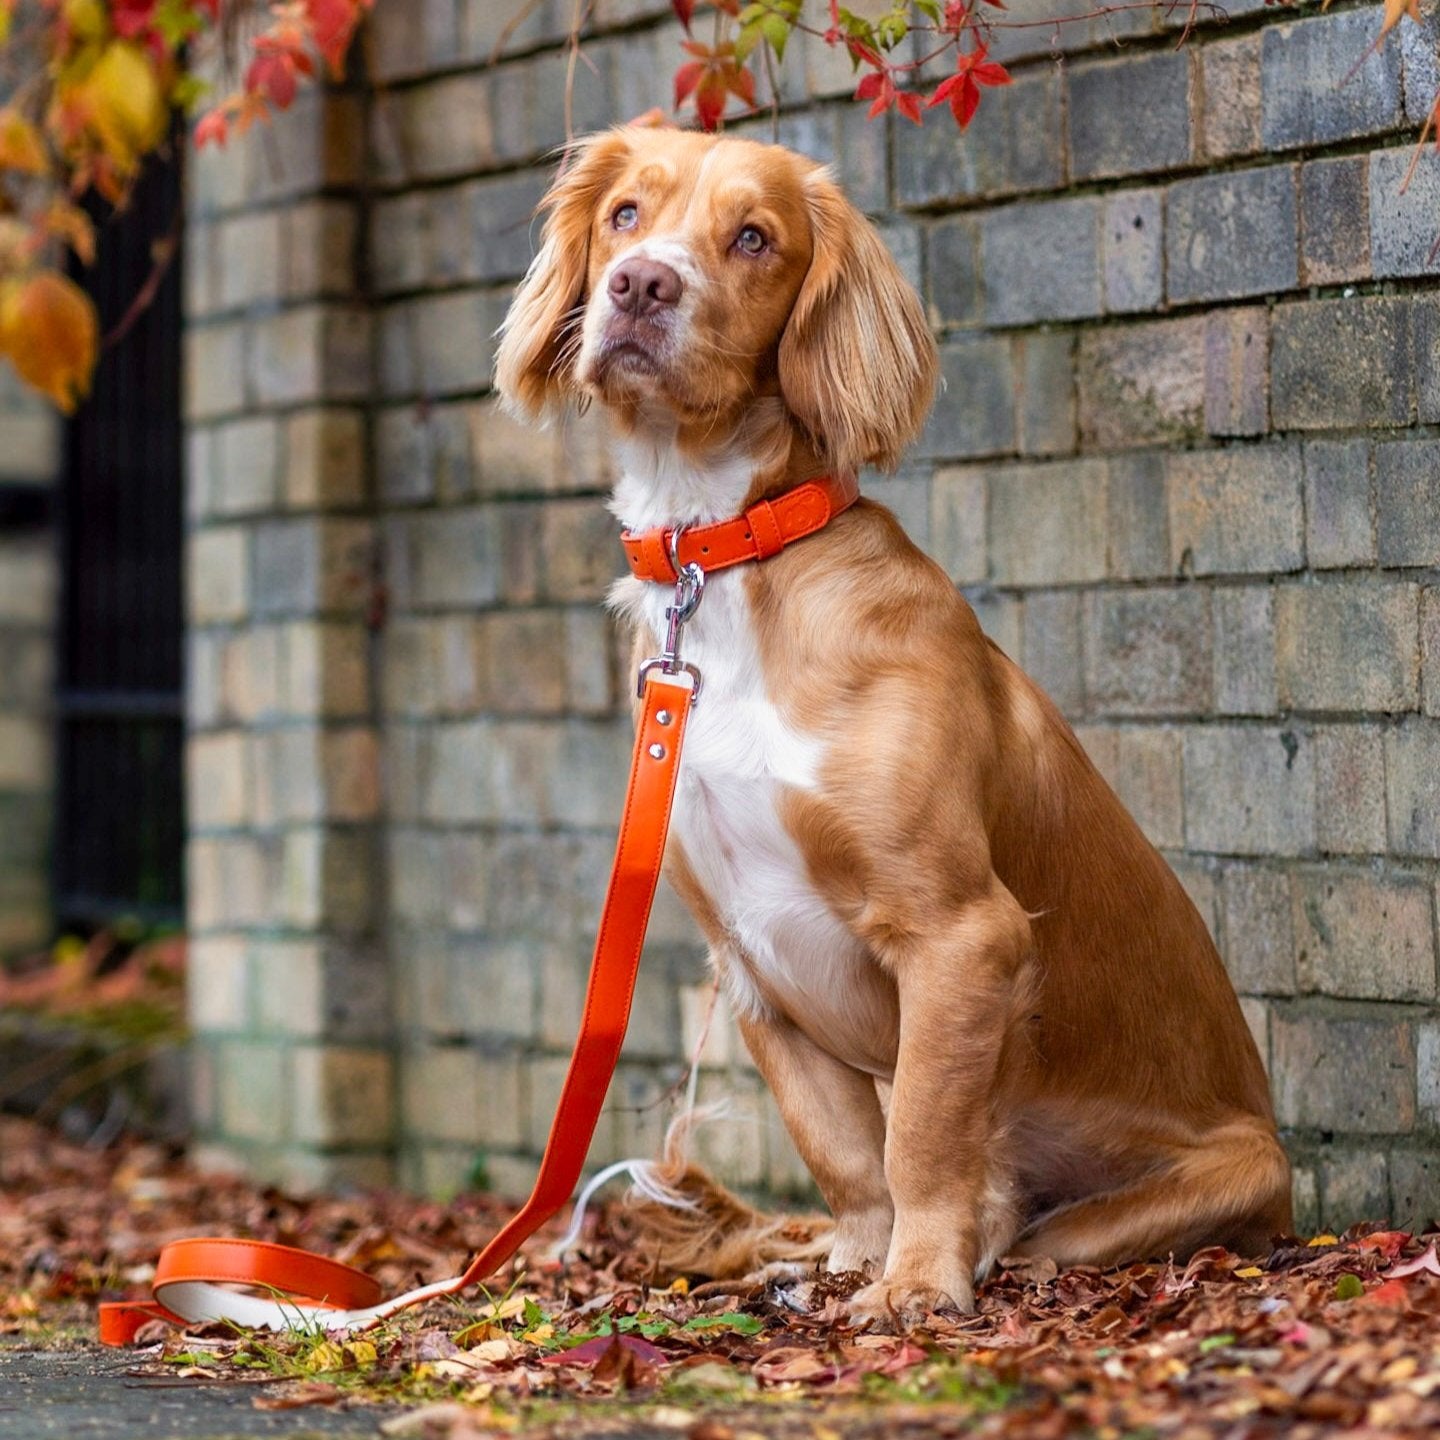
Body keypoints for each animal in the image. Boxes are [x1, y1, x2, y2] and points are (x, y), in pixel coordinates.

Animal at [495, 126, 1296, 1324]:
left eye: (753, 238)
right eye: (626, 215)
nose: (640, 286)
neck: (735, 563)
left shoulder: (960, 933)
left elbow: (919, 1129)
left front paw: (916, 1282)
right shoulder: (753, 966)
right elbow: (843, 1149)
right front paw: (858, 1261)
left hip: (1212, 1182)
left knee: (1035, 1220)